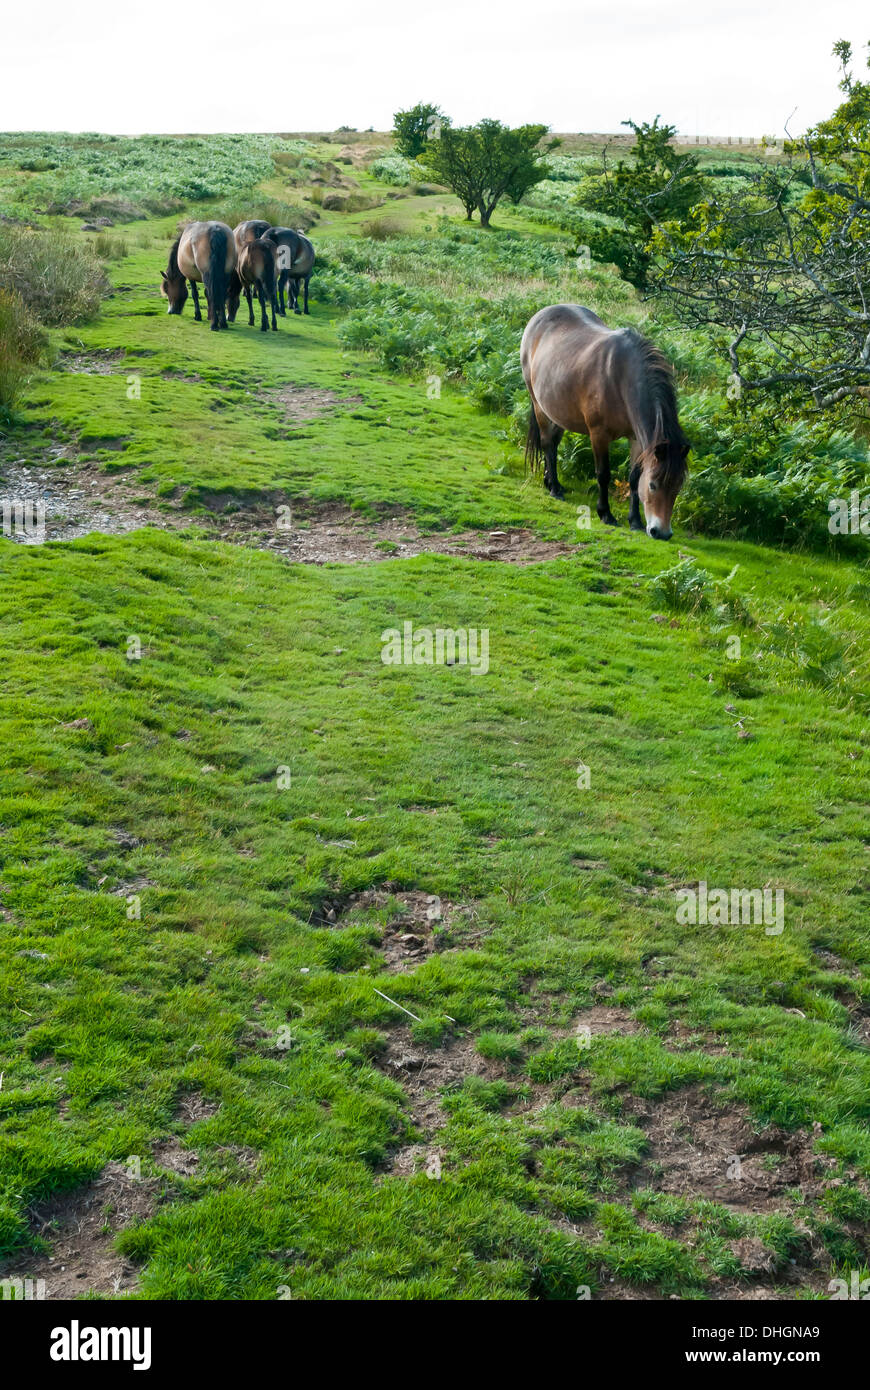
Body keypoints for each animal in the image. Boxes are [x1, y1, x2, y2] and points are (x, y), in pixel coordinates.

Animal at [516, 303, 686, 536]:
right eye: (653, 485)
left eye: (678, 487)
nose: (662, 533)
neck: (621, 378)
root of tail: (540, 315)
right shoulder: (599, 435)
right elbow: (603, 474)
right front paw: (606, 514)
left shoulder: (636, 438)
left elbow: (634, 478)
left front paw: (635, 521)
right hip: (539, 405)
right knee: (547, 444)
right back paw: (554, 489)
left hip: (558, 411)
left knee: (554, 444)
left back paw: (551, 482)